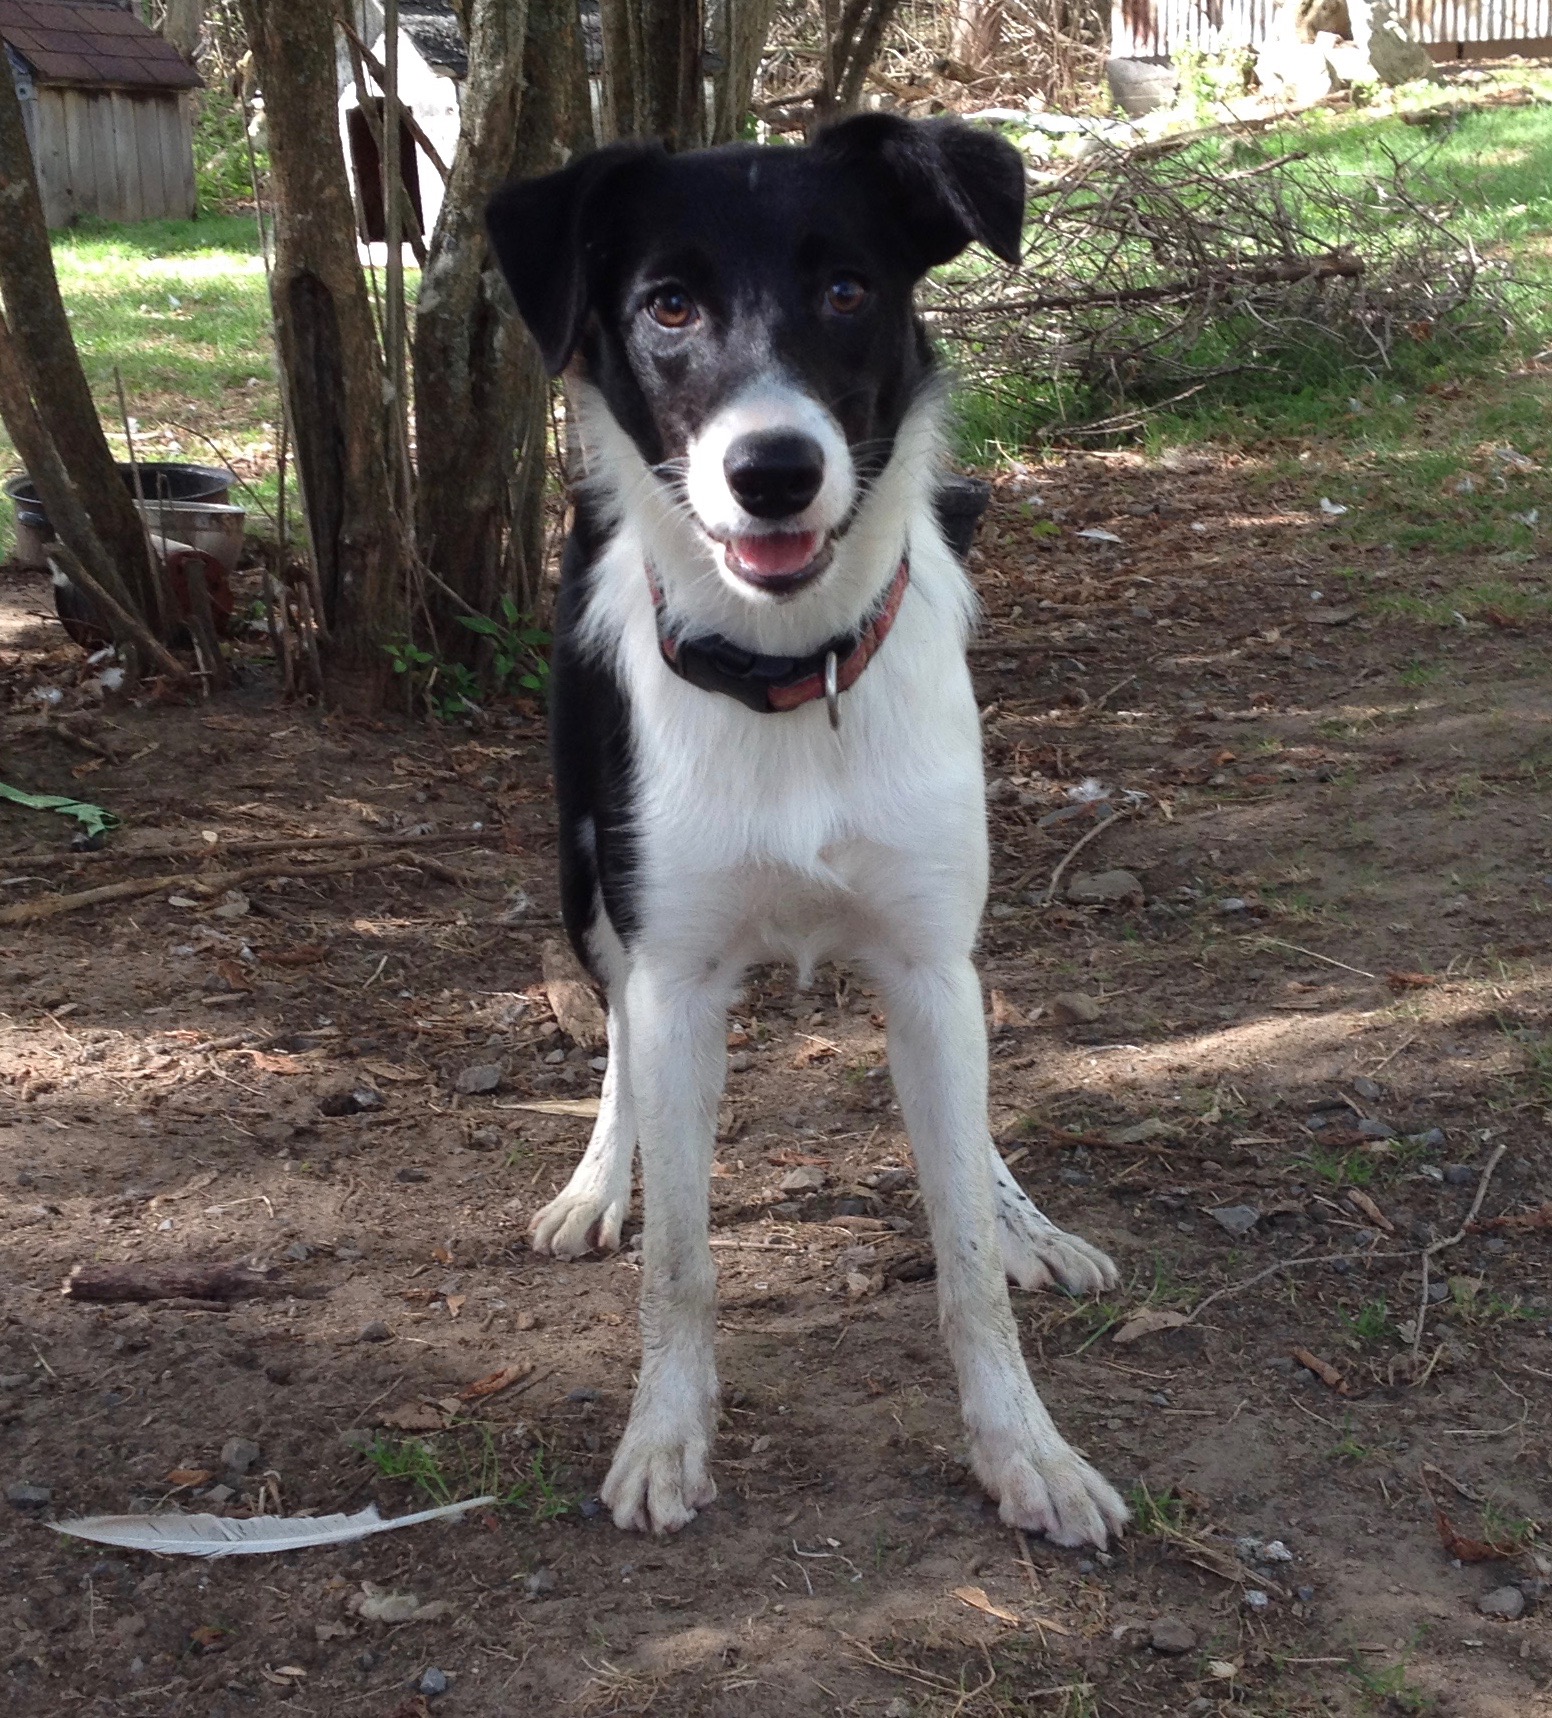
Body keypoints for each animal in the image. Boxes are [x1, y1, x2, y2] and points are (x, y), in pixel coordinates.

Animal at [485, 114, 1128, 1548]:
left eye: (847, 290)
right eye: (668, 305)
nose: (771, 470)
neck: (788, 672)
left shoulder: (930, 965)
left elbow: (960, 1256)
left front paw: (1027, 1444)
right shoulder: (673, 972)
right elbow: (680, 1261)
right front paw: (664, 1432)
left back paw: (1025, 1216)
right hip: (581, 871)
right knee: (613, 1043)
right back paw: (595, 1181)